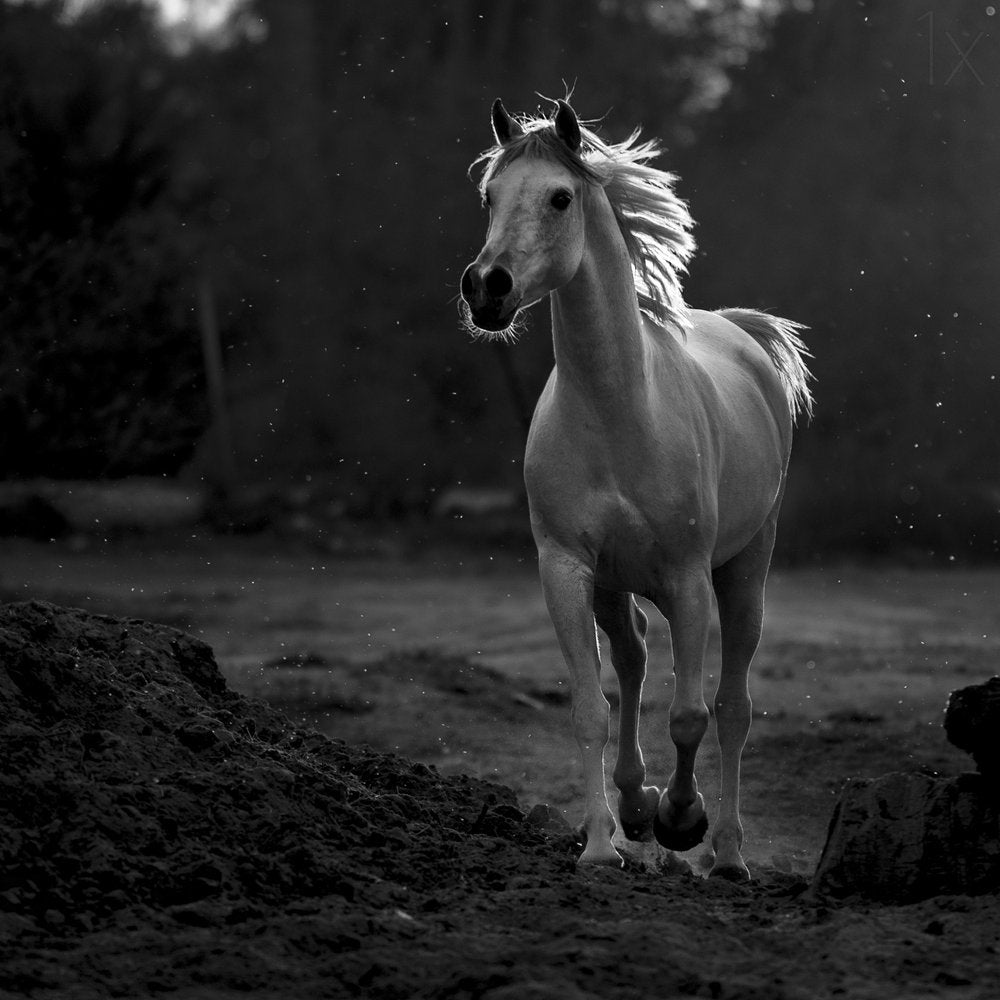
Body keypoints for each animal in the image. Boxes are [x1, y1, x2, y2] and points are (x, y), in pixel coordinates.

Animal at [459, 98, 812, 881]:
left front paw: (683, 820)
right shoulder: (566, 569)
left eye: (560, 198)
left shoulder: (687, 578)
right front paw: (601, 843)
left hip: (745, 569)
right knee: (634, 658)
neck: (619, 410)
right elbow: (591, 707)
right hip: (613, 585)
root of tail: (740, 331)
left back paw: (726, 852)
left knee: (733, 706)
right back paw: (634, 811)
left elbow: (689, 715)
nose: (486, 287)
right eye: (490, 197)